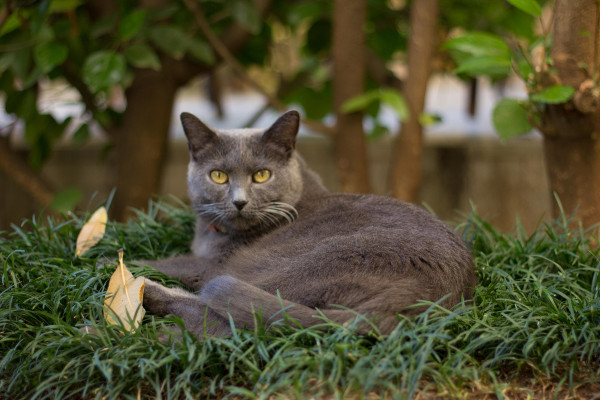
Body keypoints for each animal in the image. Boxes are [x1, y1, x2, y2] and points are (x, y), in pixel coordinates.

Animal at [141, 110, 478, 338]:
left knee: (226, 318)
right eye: (218, 176)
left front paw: (130, 262)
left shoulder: (211, 263)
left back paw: (150, 300)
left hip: (302, 263)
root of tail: (426, 297)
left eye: (262, 175)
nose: (239, 201)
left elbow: (174, 262)